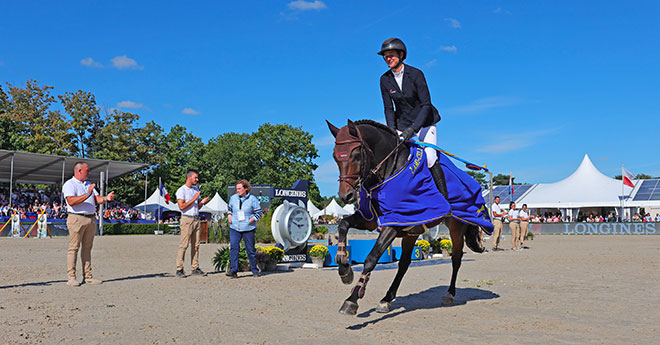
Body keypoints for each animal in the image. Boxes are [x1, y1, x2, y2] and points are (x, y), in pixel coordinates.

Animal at [326, 118, 484, 314]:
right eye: (335, 156)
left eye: (356, 155)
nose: (345, 196)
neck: (386, 172)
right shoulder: (370, 220)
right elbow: (343, 225)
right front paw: (344, 270)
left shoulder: (393, 223)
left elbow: (371, 258)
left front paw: (352, 300)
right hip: (413, 231)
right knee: (404, 263)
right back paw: (386, 299)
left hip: (456, 227)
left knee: (456, 258)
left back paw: (449, 294)